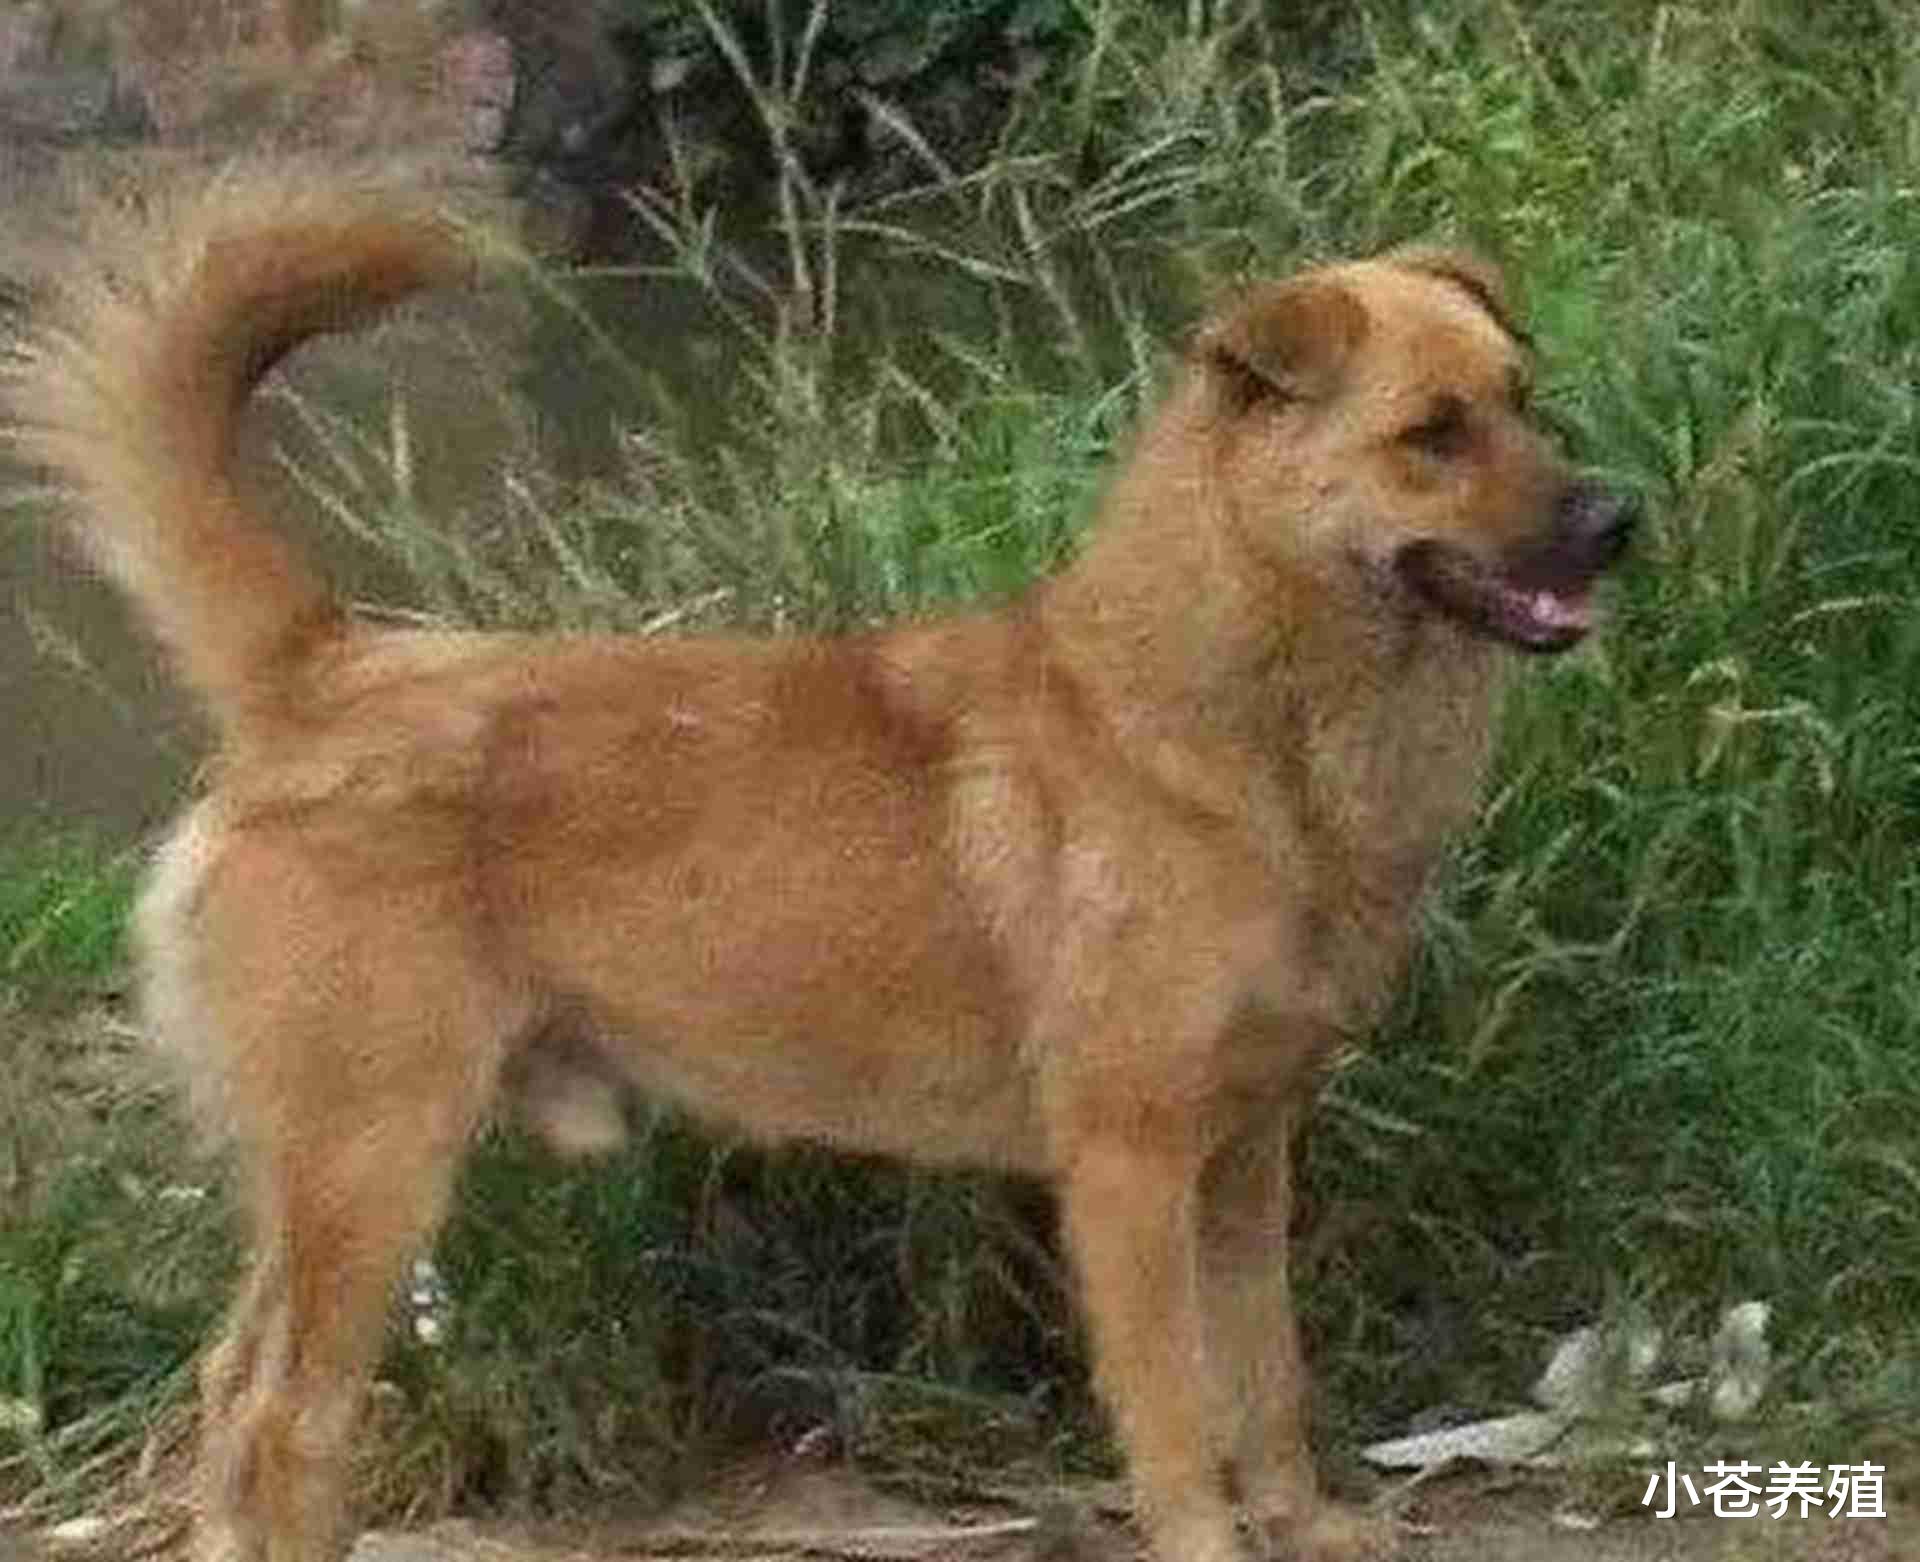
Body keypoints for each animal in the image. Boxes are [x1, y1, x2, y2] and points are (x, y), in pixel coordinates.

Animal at [13, 172, 1631, 1562]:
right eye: (1433, 433)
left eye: (1522, 401)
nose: (1622, 519)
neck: (1225, 727)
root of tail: (321, 673)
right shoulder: (1129, 1167)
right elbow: (1178, 1416)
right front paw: (1210, 1537)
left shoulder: (1245, 1158)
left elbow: (1269, 1379)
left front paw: (1299, 1523)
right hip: (372, 1168)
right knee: (289, 1425)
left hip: (321, 1185)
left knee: (232, 1400)